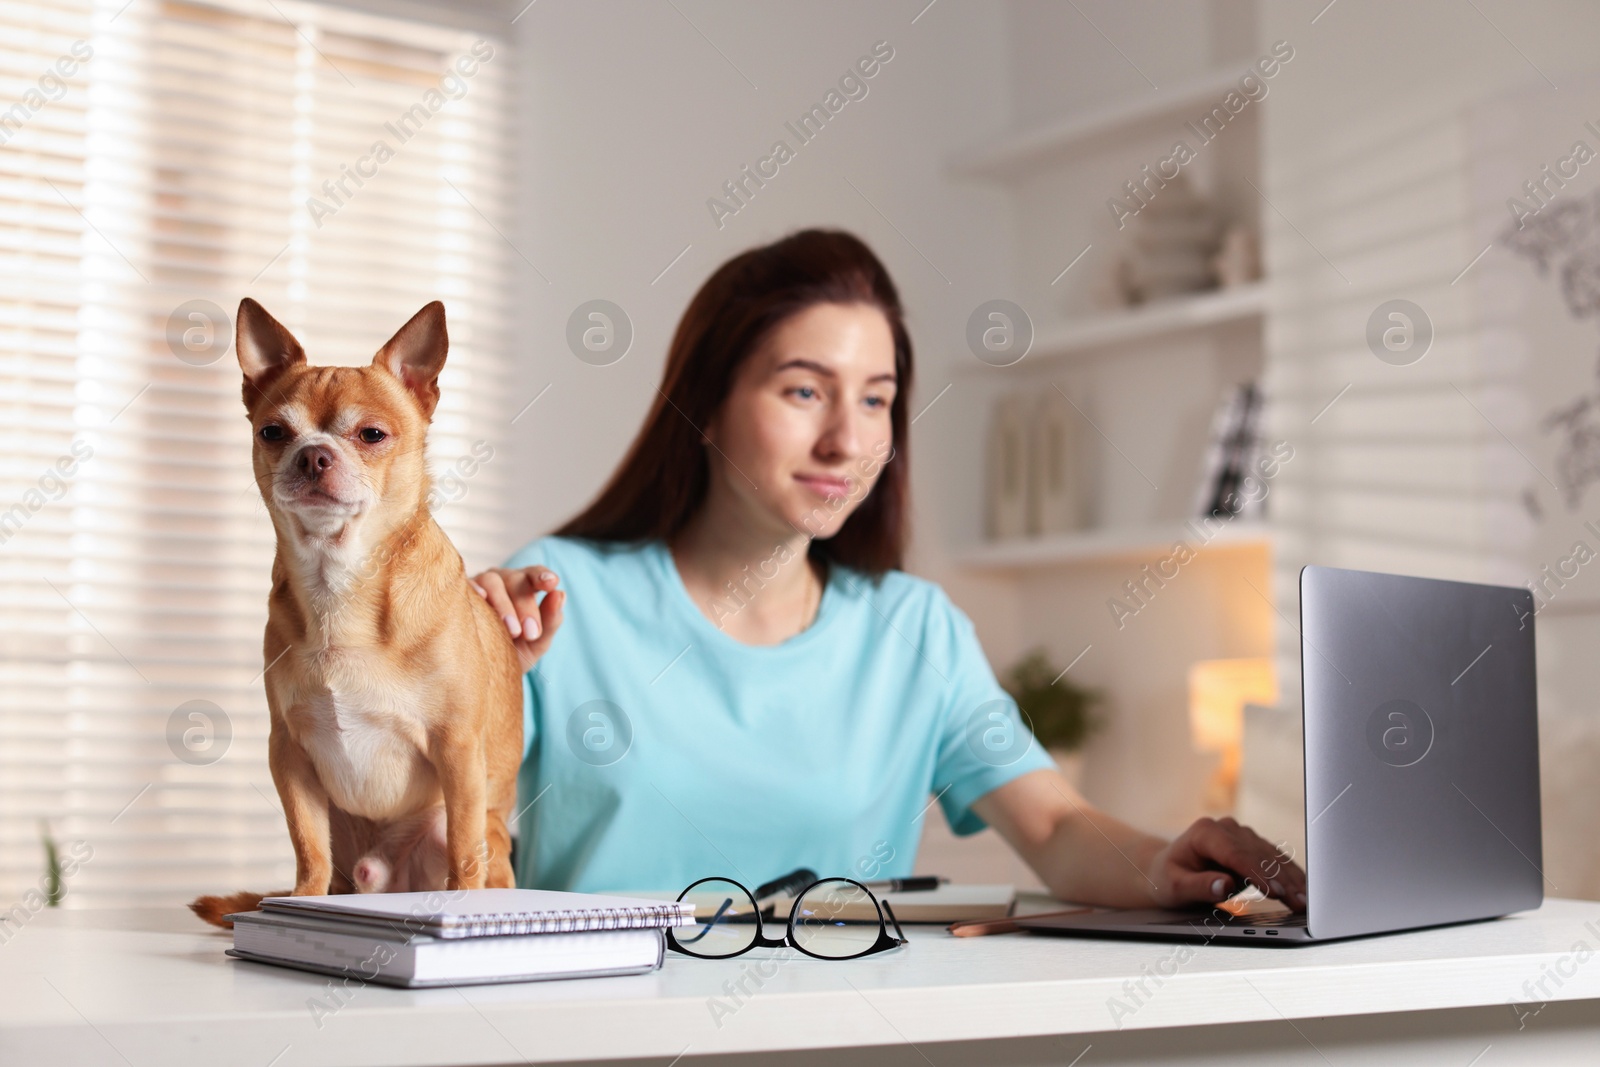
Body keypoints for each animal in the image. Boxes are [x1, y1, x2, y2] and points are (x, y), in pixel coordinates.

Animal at [190, 299, 521, 927]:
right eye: (273, 432)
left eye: (372, 435)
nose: (313, 454)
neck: (338, 583)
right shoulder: (289, 754)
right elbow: (307, 844)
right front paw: (300, 903)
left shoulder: (457, 750)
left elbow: (464, 848)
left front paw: (463, 907)